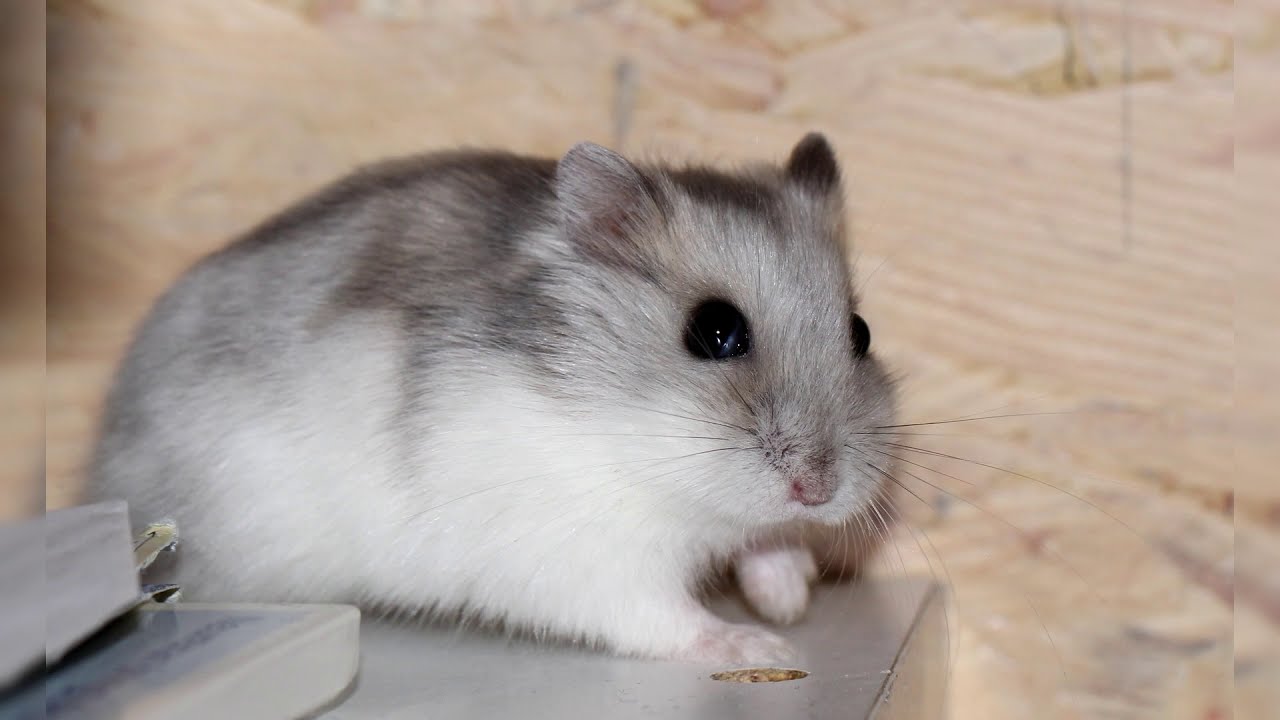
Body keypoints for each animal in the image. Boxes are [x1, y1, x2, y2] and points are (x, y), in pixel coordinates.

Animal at [88, 133, 898, 664]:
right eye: (715, 331)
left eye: (860, 333)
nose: (820, 489)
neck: (635, 440)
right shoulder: (585, 558)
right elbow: (663, 616)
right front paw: (759, 643)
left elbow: (765, 540)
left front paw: (788, 596)